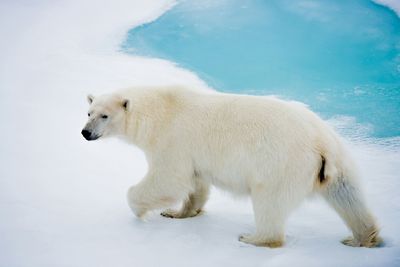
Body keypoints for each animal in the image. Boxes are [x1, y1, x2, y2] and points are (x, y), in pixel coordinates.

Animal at [80, 86, 382, 249]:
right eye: (89, 112)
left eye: (104, 116)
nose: (85, 132)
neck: (159, 110)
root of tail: (321, 143)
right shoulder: (193, 154)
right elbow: (196, 184)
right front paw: (177, 213)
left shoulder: (173, 140)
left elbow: (168, 179)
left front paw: (141, 211)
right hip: (339, 163)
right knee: (348, 196)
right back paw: (361, 238)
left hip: (280, 164)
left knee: (269, 201)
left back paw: (253, 238)